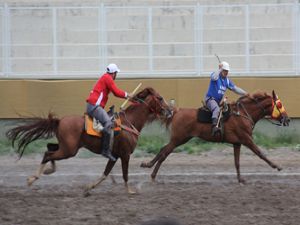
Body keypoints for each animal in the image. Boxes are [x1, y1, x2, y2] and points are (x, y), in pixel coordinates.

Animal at [6, 87, 171, 193]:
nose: (169, 111)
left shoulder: (115, 155)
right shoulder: (125, 155)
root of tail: (59, 121)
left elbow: (105, 173)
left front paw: (89, 187)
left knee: (49, 147)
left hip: (66, 146)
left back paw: (48, 170)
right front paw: (130, 191)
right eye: (160, 98)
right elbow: (125, 174)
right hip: (69, 150)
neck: (129, 122)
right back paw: (33, 178)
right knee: (48, 154)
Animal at [142, 90, 290, 184]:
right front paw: (277, 166)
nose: (287, 119)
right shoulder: (247, 139)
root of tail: (176, 111)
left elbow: (237, 162)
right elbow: (260, 153)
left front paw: (240, 179)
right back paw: (152, 174)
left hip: (180, 139)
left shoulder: (237, 143)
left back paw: (147, 165)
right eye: (279, 104)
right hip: (178, 139)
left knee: (162, 150)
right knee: (164, 153)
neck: (242, 114)